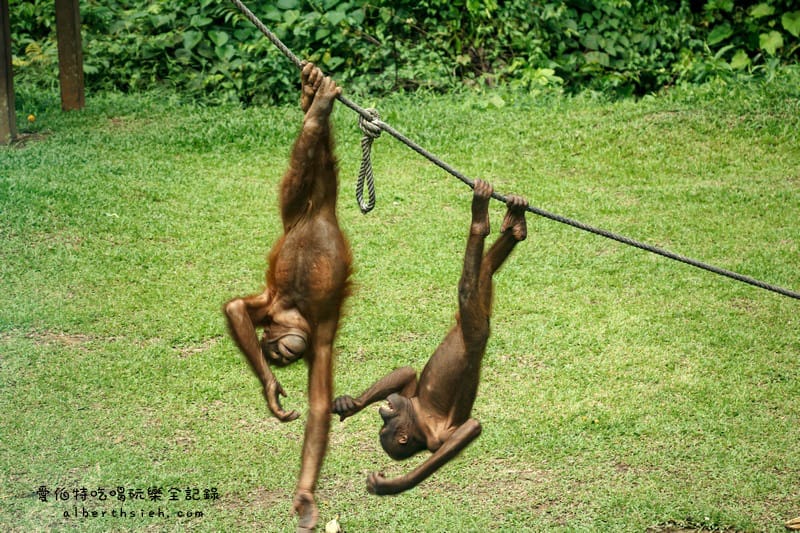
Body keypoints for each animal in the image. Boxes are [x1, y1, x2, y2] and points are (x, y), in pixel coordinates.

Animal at [224, 62, 351, 531]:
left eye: (280, 350)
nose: (277, 350)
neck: (295, 310)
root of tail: (324, 213)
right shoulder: (274, 306)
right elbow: (236, 308)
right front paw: (272, 392)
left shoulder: (320, 333)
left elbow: (319, 405)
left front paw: (305, 496)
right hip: (299, 212)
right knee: (312, 165)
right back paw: (314, 101)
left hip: (299, 210)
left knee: (311, 162)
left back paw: (313, 102)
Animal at [332, 179, 528, 495]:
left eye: (385, 426)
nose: (383, 412)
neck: (418, 416)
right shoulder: (411, 400)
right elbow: (408, 373)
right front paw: (352, 405)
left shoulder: (436, 435)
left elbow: (470, 428)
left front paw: (391, 485)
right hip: (473, 320)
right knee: (482, 273)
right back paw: (515, 225)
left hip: (473, 328)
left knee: (467, 286)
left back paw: (481, 218)